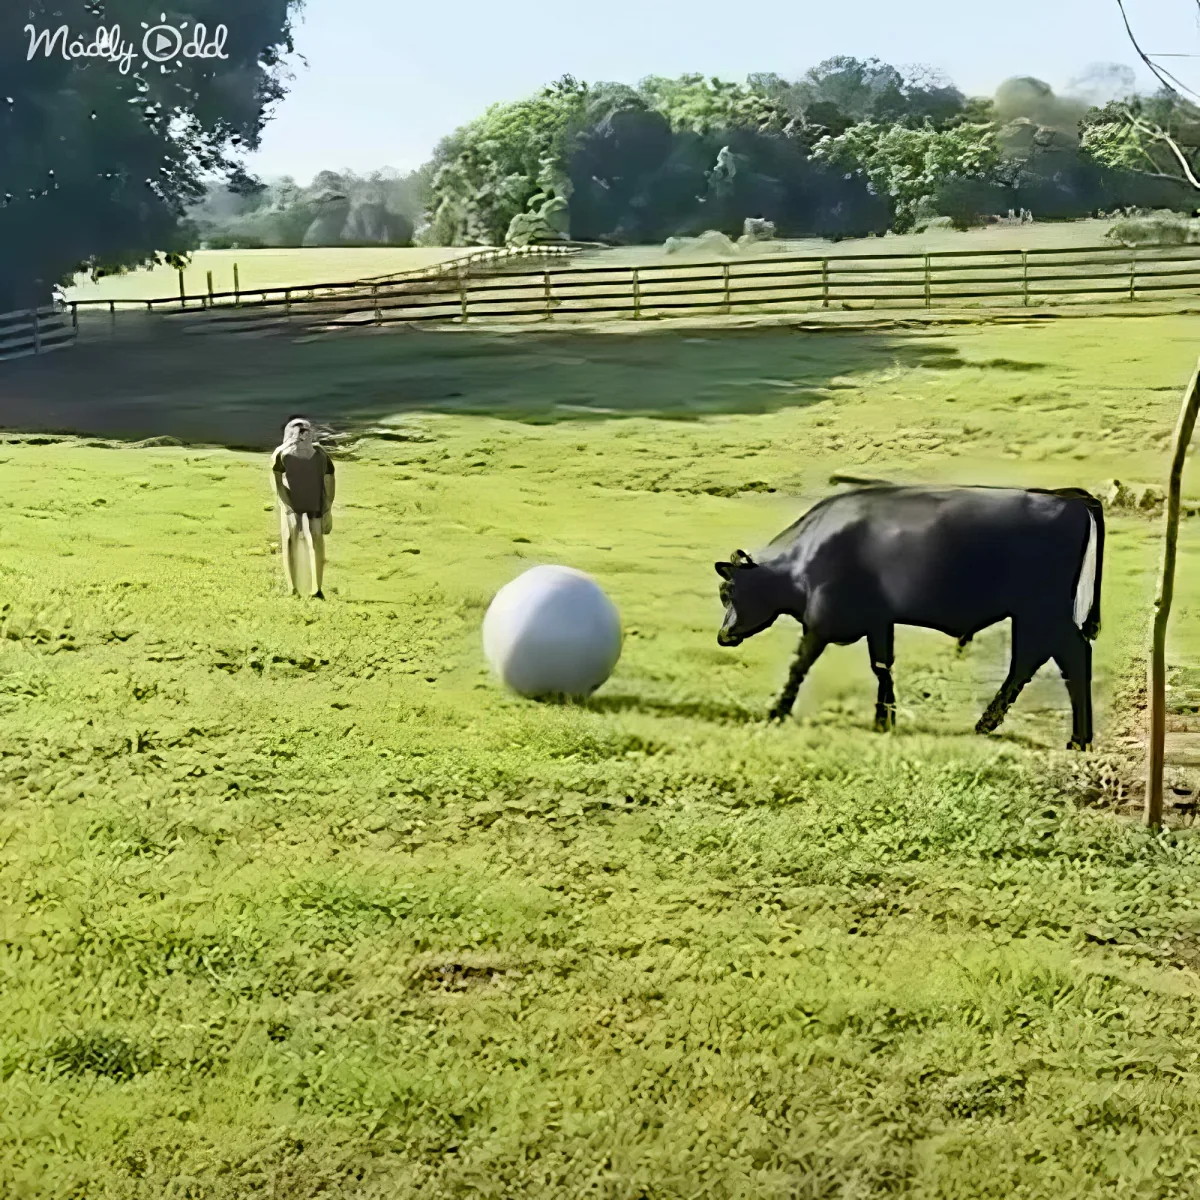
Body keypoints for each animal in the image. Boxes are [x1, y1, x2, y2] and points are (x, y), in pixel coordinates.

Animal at [714, 484, 1105, 750]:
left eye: (727, 593)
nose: (723, 635)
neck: (805, 558)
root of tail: (1066, 498)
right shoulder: (878, 620)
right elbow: (882, 666)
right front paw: (885, 718)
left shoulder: (821, 622)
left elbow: (799, 665)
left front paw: (777, 711)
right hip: (1034, 614)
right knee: (1029, 661)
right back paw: (988, 723)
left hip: (1045, 612)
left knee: (1070, 658)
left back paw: (1077, 739)